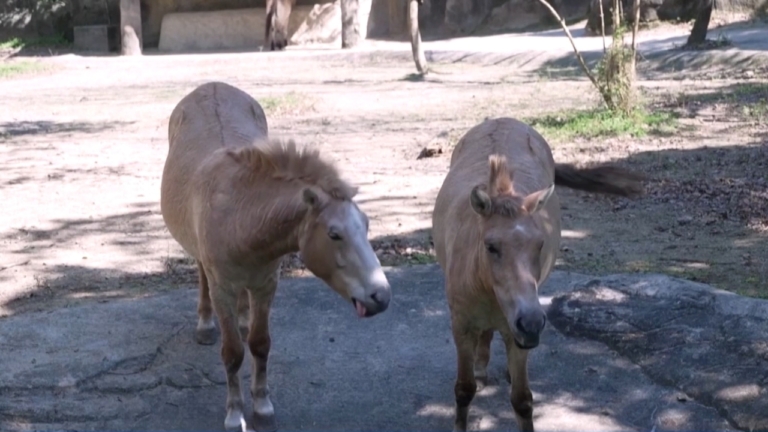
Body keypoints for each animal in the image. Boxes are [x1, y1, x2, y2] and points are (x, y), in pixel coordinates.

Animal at [160, 81, 392, 431]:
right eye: (334, 234)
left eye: (366, 225)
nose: (381, 296)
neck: (240, 217)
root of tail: (212, 86)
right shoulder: (222, 288)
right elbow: (232, 352)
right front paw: (235, 414)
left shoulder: (267, 283)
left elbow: (260, 343)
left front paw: (262, 406)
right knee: (201, 274)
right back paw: (205, 323)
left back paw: (243, 318)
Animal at [431, 117, 645, 432]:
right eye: (491, 246)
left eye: (540, 244)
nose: (531, 322)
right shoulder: (461, 326)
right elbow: (463, 390)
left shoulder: (516, 331)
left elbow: (522, 400)